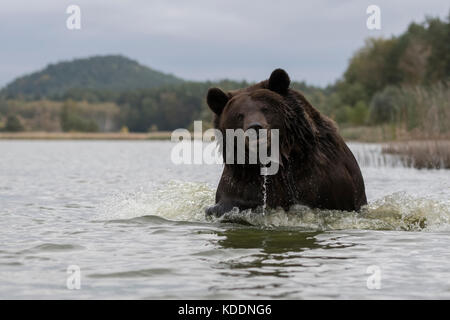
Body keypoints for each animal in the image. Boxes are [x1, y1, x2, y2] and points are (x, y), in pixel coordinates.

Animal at [206, 68, 368, 218]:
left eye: (265, 109)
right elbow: (230, 202)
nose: (255, 128)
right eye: (239, 115)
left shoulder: (321, 181)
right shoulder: (244, 179)